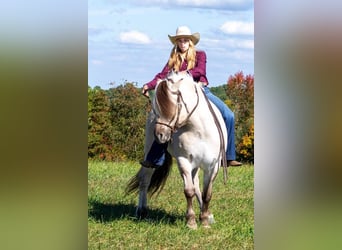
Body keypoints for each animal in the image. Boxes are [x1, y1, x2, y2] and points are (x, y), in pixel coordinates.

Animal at [125, 70, 227, 229]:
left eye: (172, 105)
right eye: (157, 108)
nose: (159, 135)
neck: (199, 130)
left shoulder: (213, 165)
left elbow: (206, 193)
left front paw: (204, 219)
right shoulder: (184, 161)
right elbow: (189, 191)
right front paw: (191, 221)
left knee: (197, 185)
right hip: (149, 155)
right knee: (144, 180)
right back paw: (141, 211)